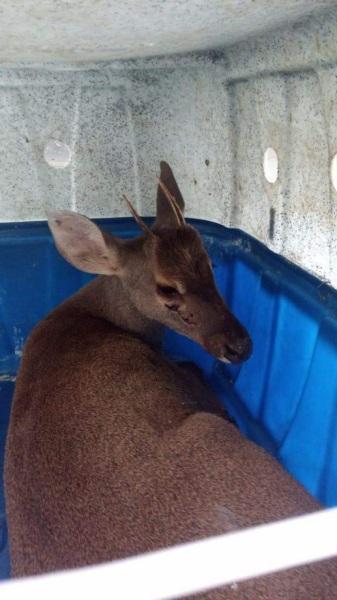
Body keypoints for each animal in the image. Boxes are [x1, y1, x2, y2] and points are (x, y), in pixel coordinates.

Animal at [3, 162, 336, 596]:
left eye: (210, 263)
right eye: (166, 287)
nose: (239, 345)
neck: (93, 315)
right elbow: (194, 372)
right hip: (210, 436)